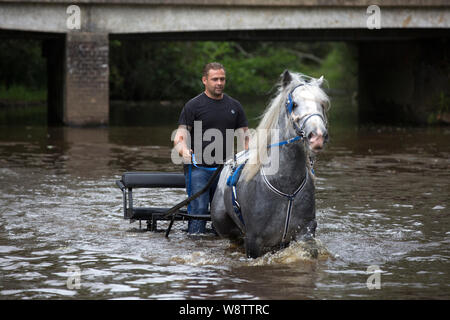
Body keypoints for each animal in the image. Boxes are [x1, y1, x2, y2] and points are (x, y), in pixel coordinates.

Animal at [211, 70, 330, 258]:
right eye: (294, 104)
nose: (317, 136)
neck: (286, 187)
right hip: (227, 229)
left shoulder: (305, 231)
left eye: (322, 105)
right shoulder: (254, 240)